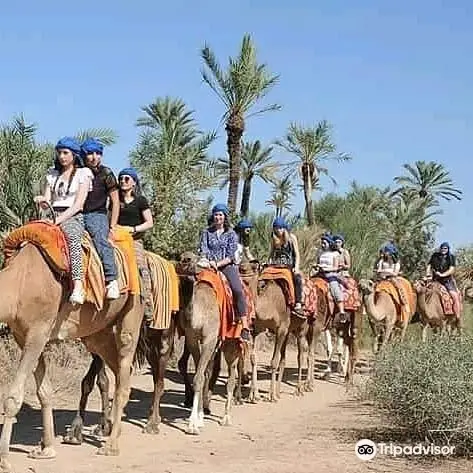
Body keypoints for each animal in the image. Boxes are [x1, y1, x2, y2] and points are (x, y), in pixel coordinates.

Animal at [0, 240, 144, 472]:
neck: (19, 282)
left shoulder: (38, 330)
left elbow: (13, 398)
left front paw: (4, 459)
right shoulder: (24, 335)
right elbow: (44, 392)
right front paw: (46, 449)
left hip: (132, 308)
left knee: (125, 359)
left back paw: (110, 446)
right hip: (98, 332)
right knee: (120, 369)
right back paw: (112, 430)